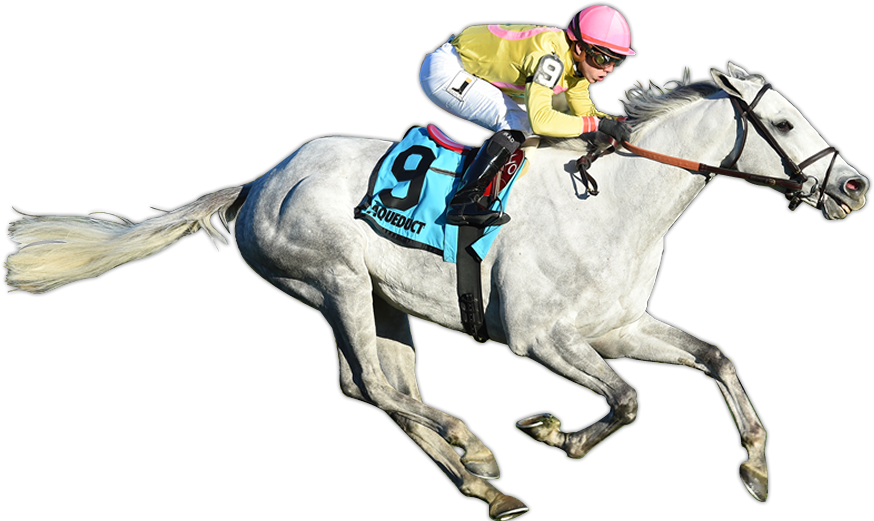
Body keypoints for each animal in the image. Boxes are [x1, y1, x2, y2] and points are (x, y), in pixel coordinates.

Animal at [7, 63, 868, 519]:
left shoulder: (619, 325)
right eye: (784, 127)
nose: (854, 186)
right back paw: (478, 452)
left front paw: (755, 465)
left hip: (383, 302)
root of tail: (258, 183)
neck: (611, 200)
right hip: (333, 280)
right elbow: (625, 401)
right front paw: (551, 431)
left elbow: (715, 355)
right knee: (376, 389)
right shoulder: (543, 336)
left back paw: (479, 482)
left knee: (378, 389)